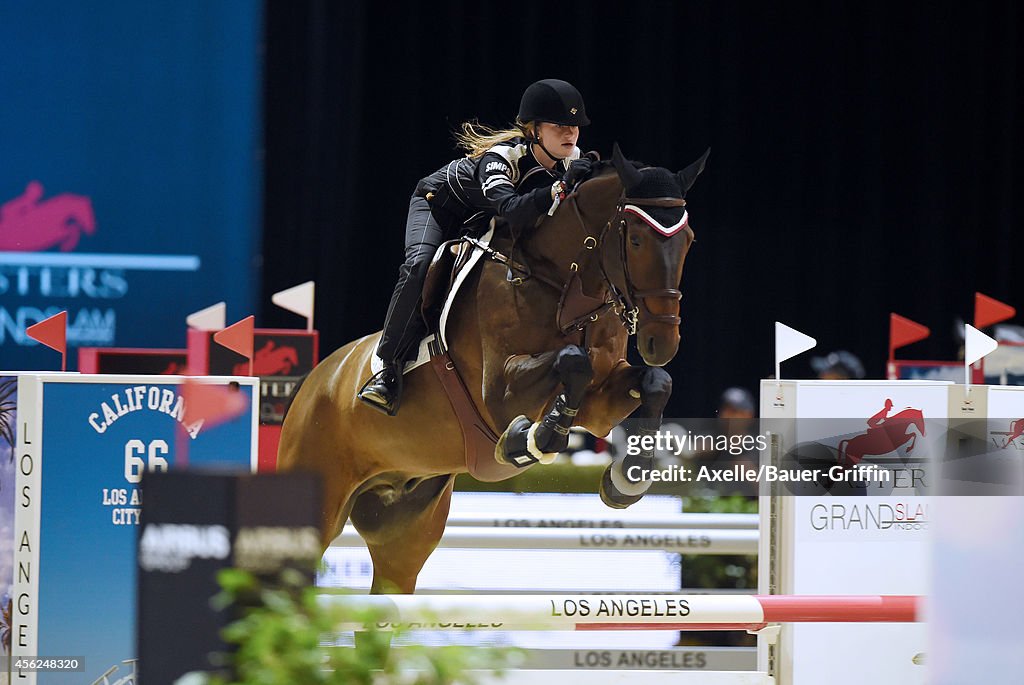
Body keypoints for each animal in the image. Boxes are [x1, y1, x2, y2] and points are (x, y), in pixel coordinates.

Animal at [280, 145, 712, 593]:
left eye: (689, 242)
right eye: (638, 239)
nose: (662, 343)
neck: (565, 284)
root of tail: (316, 381)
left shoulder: (600, 404)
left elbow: (654, 380)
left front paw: (627, 477)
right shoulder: (499, 394)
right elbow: (572, 360)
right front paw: (532, 439)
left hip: (403, 530)